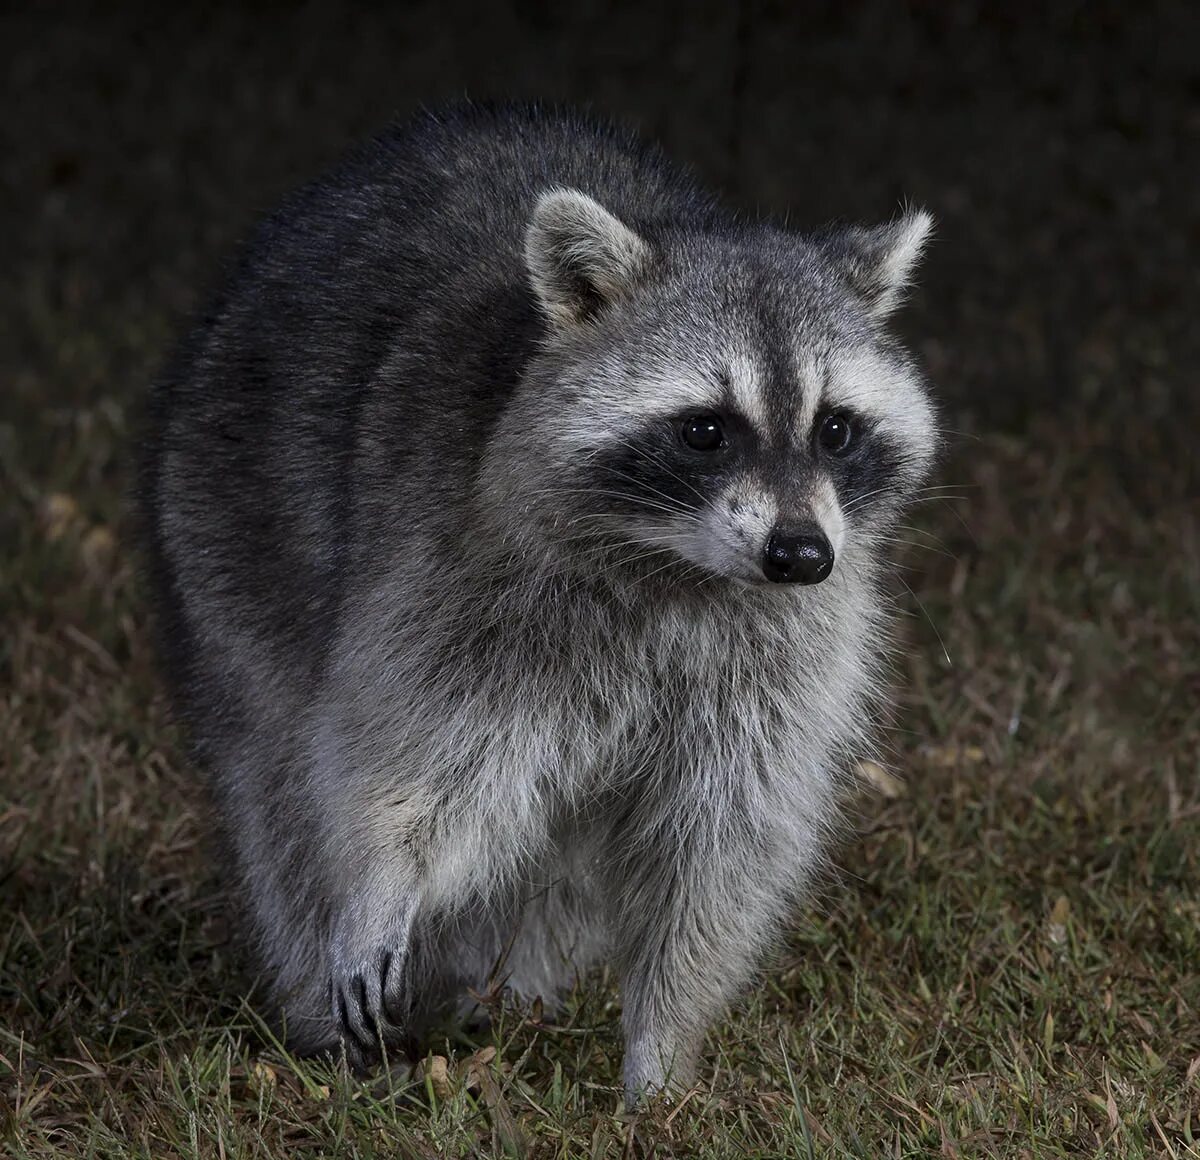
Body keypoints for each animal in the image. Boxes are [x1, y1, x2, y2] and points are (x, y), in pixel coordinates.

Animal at [138, 99, 936, 1098]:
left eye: (835, 429)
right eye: (705, 431)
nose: (800, 555)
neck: (680, 569)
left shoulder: (784, 654)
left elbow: (724, 848)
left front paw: (662, 1058)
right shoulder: (451, 570)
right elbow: (399, 760)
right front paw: (379, 881)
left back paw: (508, 992)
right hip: (220, 524)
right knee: (278, 780)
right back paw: (326, 1025)